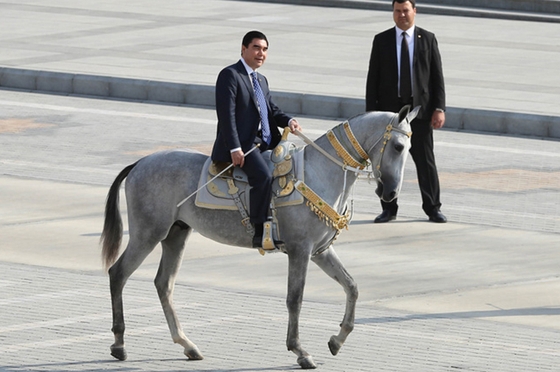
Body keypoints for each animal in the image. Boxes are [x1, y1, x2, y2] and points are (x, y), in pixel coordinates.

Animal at [100, 104, 418, 370]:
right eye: (398, 146)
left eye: (409, 148)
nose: (391, 193)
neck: (319, 172)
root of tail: (140, 163)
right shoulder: (300, 250)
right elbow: (295, 298)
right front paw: (300, 351)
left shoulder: (320, 251)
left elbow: (352, 286)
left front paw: (336, 340)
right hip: (148, 233)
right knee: (118, 274)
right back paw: (119, 344)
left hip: (176, 234)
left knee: (163, 284)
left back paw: (187, 345)